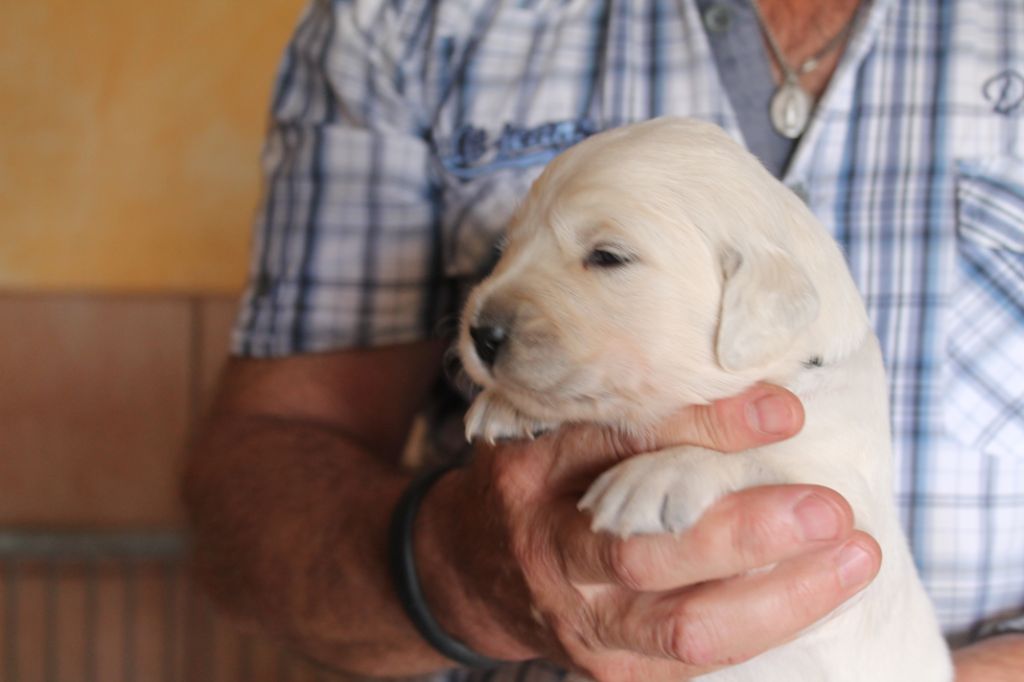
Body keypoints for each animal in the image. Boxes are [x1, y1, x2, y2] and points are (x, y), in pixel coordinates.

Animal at [457, 118, 952, 681]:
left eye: (608, 256)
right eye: (506, 247)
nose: (481, 334)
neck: (797, 364)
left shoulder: (847, 535)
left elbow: (764, 466)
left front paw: (662, 473)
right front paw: (507, 406)